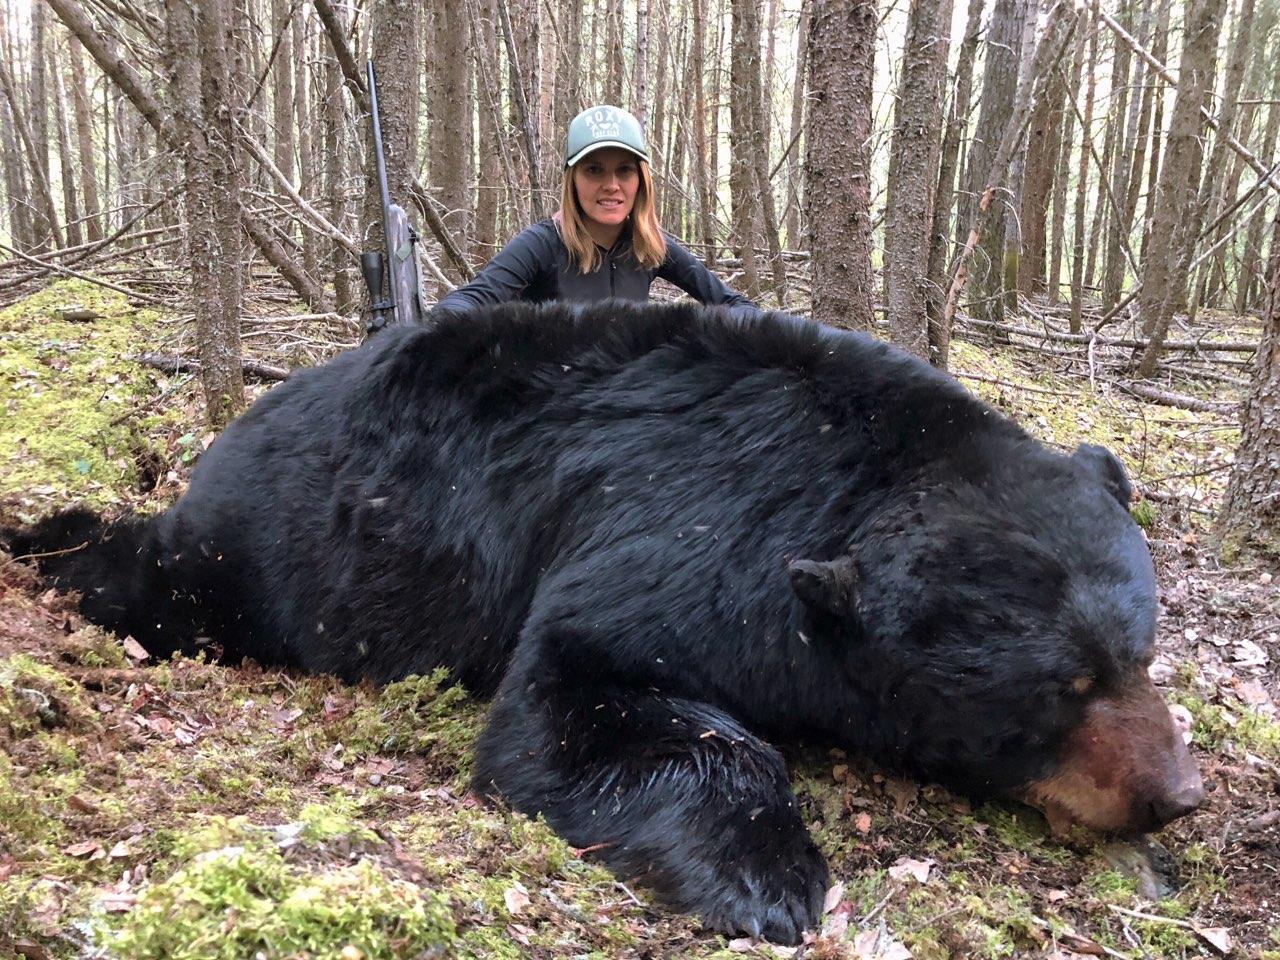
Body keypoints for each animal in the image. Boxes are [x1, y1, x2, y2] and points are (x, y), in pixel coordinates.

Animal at [5, 301, 1204, 944]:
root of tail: (243, 416)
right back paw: (48, 555)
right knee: (159, 578)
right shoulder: (668, 536)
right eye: (1060, 685)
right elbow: (573, 700)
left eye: (1138, 653)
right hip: (268, 545)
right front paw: (768, 879)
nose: (1178, 795)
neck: (827, 484)